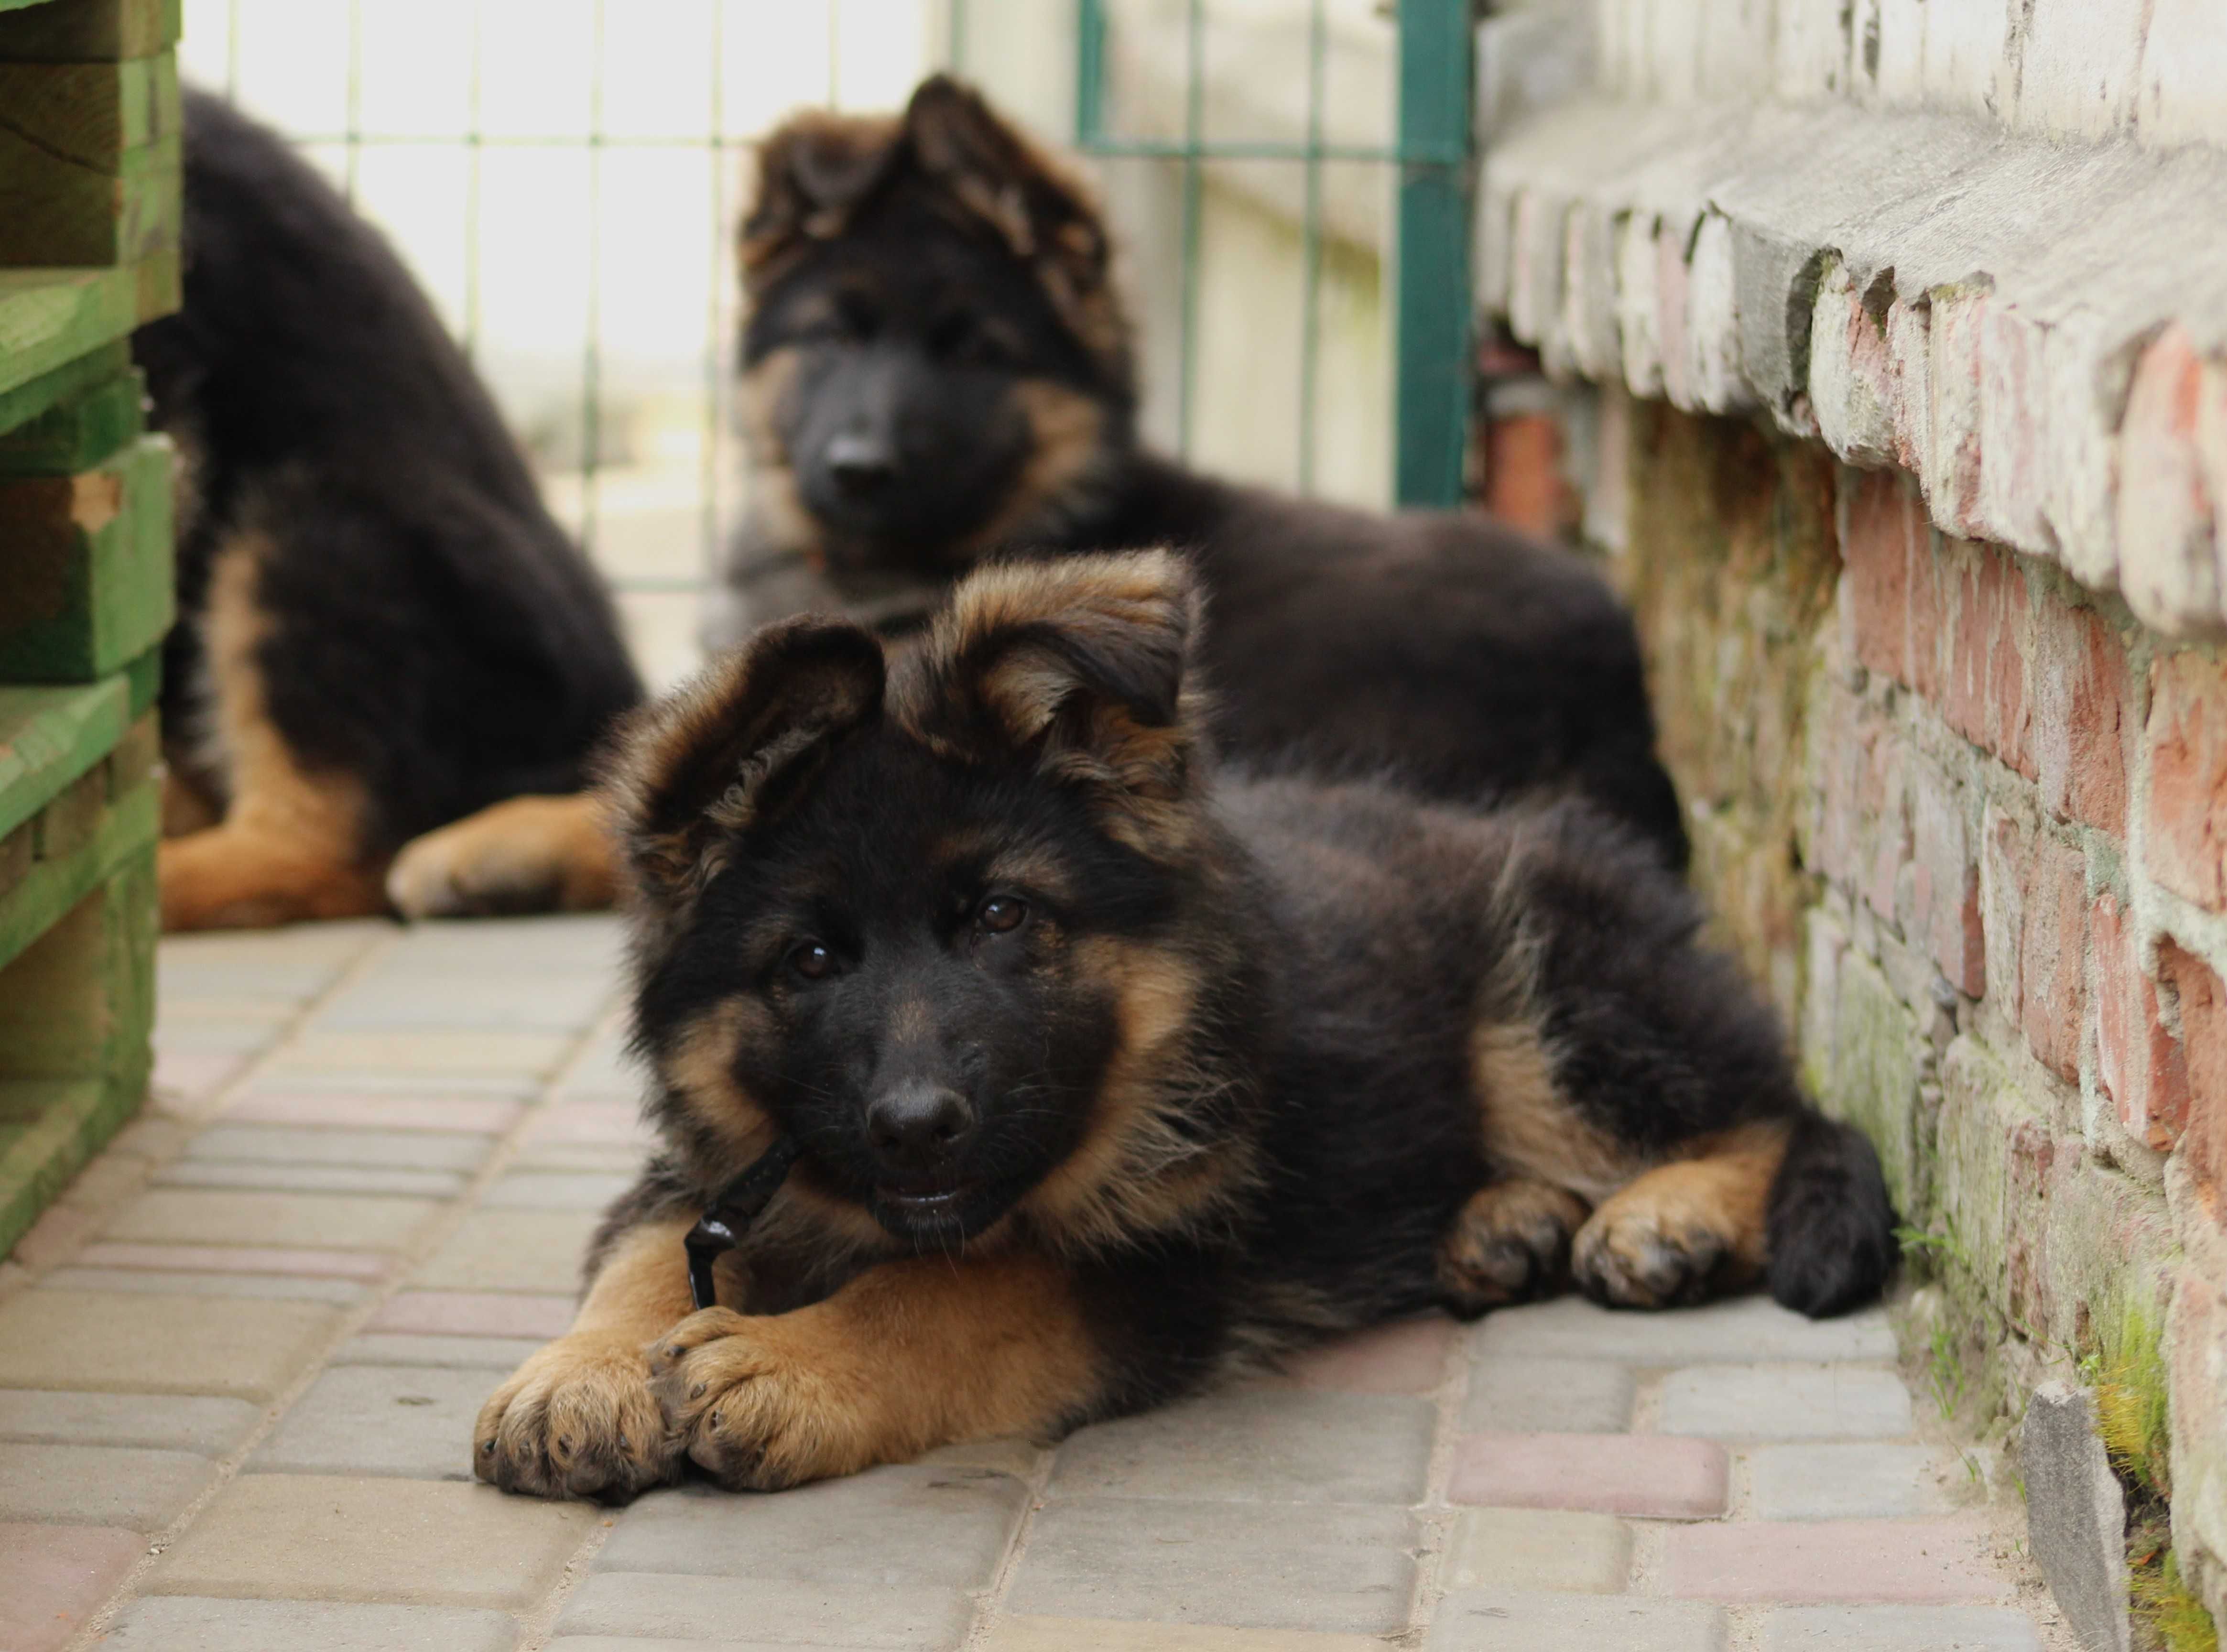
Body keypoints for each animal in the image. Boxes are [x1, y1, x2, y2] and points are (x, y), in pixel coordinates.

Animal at [474, 552, 1897, 1505]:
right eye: (809, 959)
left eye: (1002, 917)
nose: (919, 1129)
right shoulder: (713, 1172)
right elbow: (645, 1254)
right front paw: (579, 1373)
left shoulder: (1167, 1260)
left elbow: (966, 1286)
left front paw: (791, 1362)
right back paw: (1503, 1224)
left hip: (1546, 994)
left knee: (1772, 1106)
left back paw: (1664, 1215)